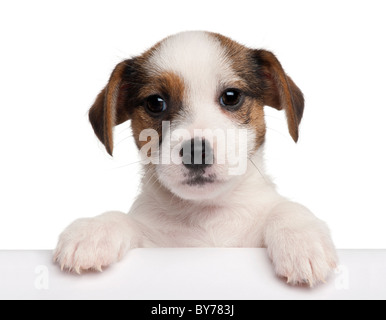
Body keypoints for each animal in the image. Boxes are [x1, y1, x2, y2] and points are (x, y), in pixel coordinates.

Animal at [53, 31, 338, 286]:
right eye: (156, 103)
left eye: (231, 97)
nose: (196, 152)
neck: (207, 214)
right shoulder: (153, 243)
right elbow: (124, 219)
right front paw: (93, 231)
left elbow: (286, 208)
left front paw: (302, 240)